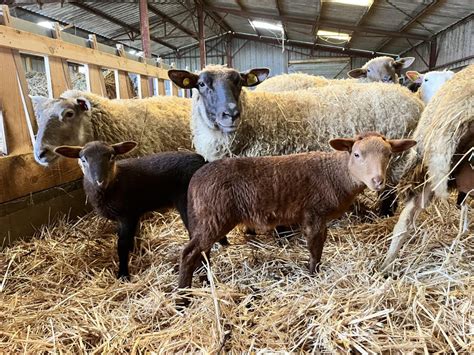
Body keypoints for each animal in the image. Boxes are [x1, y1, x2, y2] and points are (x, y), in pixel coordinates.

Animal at [180, 132, 416, 290]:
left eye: (389, 155)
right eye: (357, 154)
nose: (378, 181)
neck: (336, 174)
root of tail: (195, 180)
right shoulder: (314, 213)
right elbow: (315, 247)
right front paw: (313, 274)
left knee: (202, 252)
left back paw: (204, 281)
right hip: (214, 217)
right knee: (190, 252)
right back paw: (184, 293)